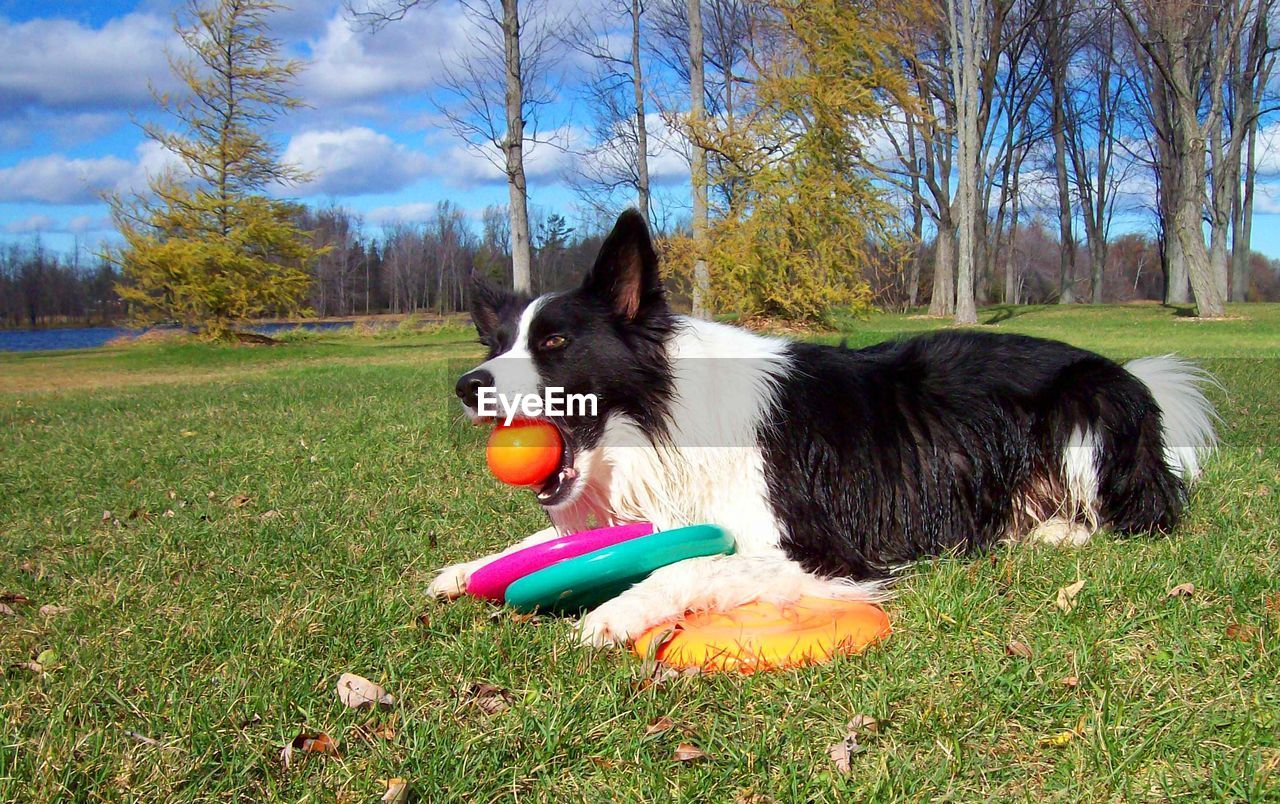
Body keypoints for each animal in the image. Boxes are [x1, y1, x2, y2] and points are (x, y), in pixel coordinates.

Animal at [424, 208, 1213, 647]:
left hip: (1086, 410)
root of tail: (1133, 376)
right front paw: (465, 569)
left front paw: (619, 610)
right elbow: (542, 542)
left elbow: (691, 564)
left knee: (1139, 515)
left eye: (555, 343)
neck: (663, 422)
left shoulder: (824, 551)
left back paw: (1056, 530)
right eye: (499, 345)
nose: (466, 385)